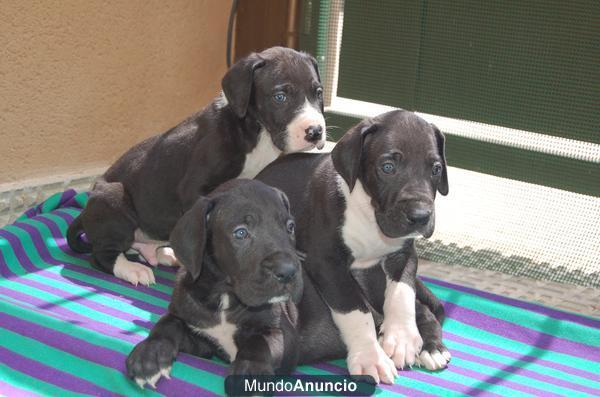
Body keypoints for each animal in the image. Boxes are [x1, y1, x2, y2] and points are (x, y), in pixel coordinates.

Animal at [68, 46, 326, 284]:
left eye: (318, 93)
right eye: (280, 96)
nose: (315, 131)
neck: (254, 131)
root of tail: (86, 211)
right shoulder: (194, 188)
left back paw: (164, 254)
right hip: (114, 196)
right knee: (102, 254)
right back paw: (133, 269)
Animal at [126, 178, 446, 388]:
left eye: (289, 227)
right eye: (240, 233)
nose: (289, 272)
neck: (225, 297)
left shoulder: (283, 334)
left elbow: (258, 342)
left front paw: (249, 371)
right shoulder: (199, 332)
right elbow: (167, 325)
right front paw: (149, 356)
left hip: (385, 290)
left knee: (420, 312)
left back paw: (431, 349)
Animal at [256, 110, 450, 382]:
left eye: (436, 169)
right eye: (387, 167)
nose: (421, 216)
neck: (369, 215)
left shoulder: (404, 255)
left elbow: (402, 293)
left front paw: (401, 338)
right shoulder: (326, 263)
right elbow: (356, 311)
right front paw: (370, 357)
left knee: (423, 308)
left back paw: (432, 348)